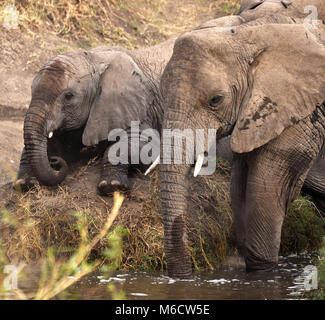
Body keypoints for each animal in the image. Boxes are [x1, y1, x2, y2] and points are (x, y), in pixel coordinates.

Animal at [159, 22, 325, 278]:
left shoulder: (300, 118)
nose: (183, 277)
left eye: (216, 100)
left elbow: (264, 191)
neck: (248, 36)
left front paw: (262, 272)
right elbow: (239, 190)